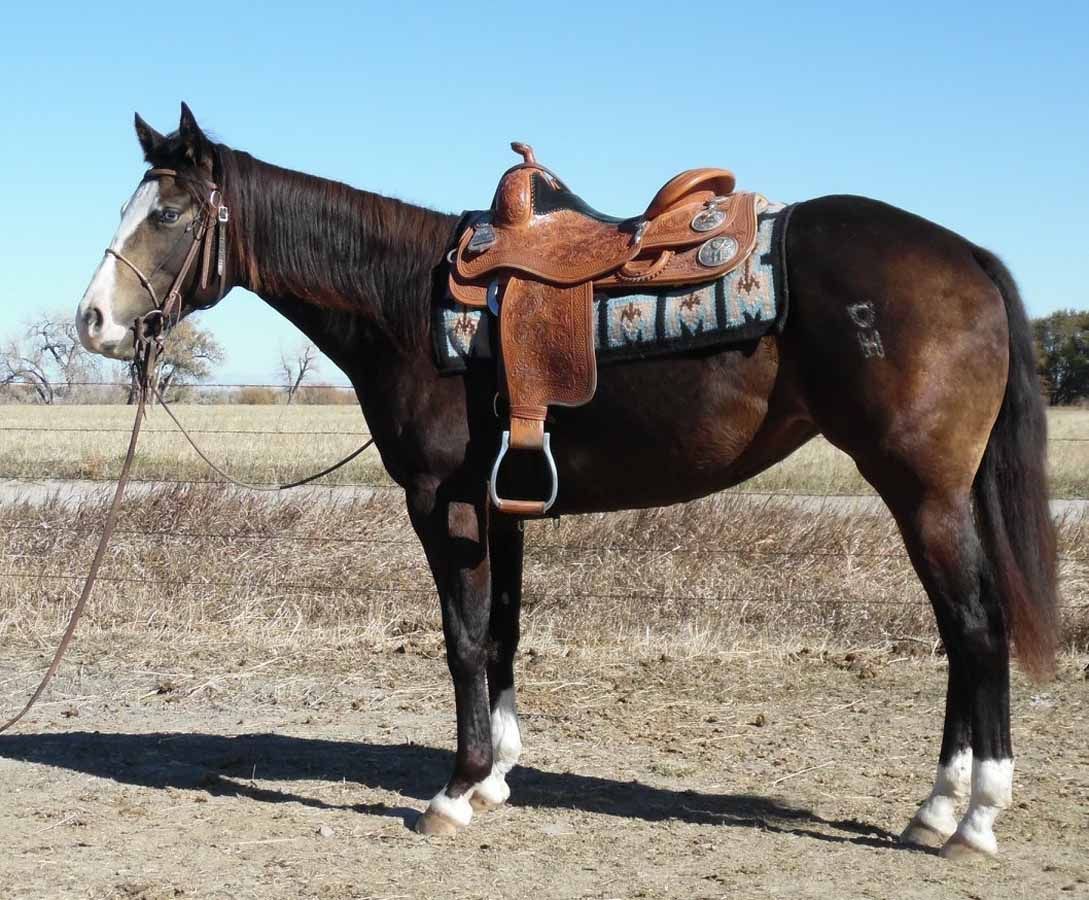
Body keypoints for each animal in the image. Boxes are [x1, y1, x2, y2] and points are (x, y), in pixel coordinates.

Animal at [74, 103, 1057, 859]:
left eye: (169, 215)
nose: (92, 322)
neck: (406, 304)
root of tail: (964, 253)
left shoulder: (445, 506)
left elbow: (463, 640)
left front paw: (454, 790)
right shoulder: (500, 506)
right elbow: (503, 635)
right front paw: (497, 778)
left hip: (921, 492)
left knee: (975, 629)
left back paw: (968, 816)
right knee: (964, 634)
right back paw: (938, 812)